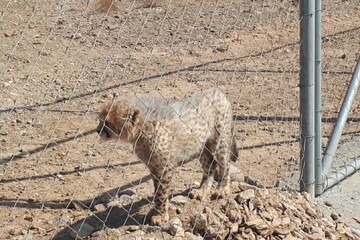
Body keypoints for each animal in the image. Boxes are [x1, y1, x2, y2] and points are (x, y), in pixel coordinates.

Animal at [96, 88, 239, 225]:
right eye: (100, 120)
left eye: (107, 122)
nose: (97, 130)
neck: (142, 129)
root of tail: (218, 91)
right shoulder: (154, 167)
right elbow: (156, 191)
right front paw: (156, 210)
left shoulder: (165, 168)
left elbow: (161, 193)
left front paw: (160, 215)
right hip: (202, 146)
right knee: (210, 165)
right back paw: (202, 190)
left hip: (219, 141)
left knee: (225, 163)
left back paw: (223, 189)